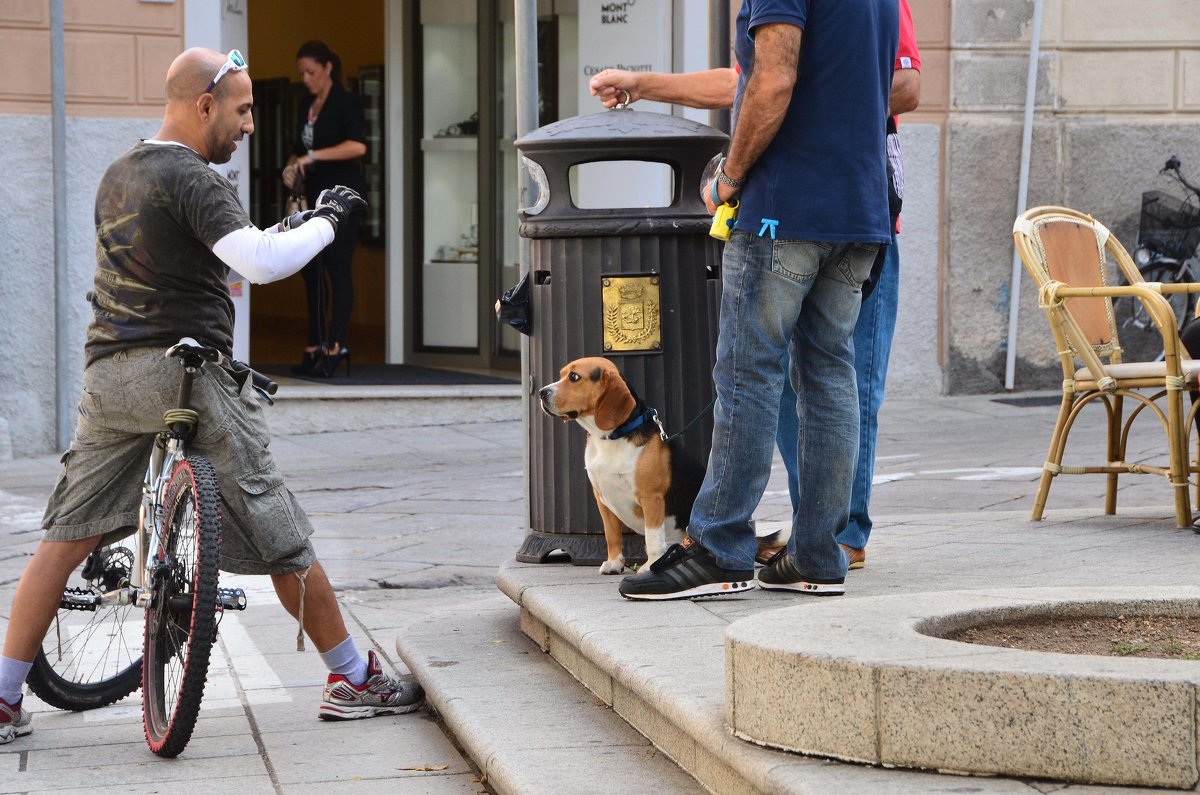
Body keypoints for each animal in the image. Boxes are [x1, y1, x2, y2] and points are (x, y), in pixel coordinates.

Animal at [537, 357, 700, 576]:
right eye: (561, 374)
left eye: (574, 377)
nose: (542, 392)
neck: (610, 437)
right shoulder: (603, 499)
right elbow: (612, 535)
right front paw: (614, 563)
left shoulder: (651, 498)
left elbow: (652, 537)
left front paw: (651, 565)